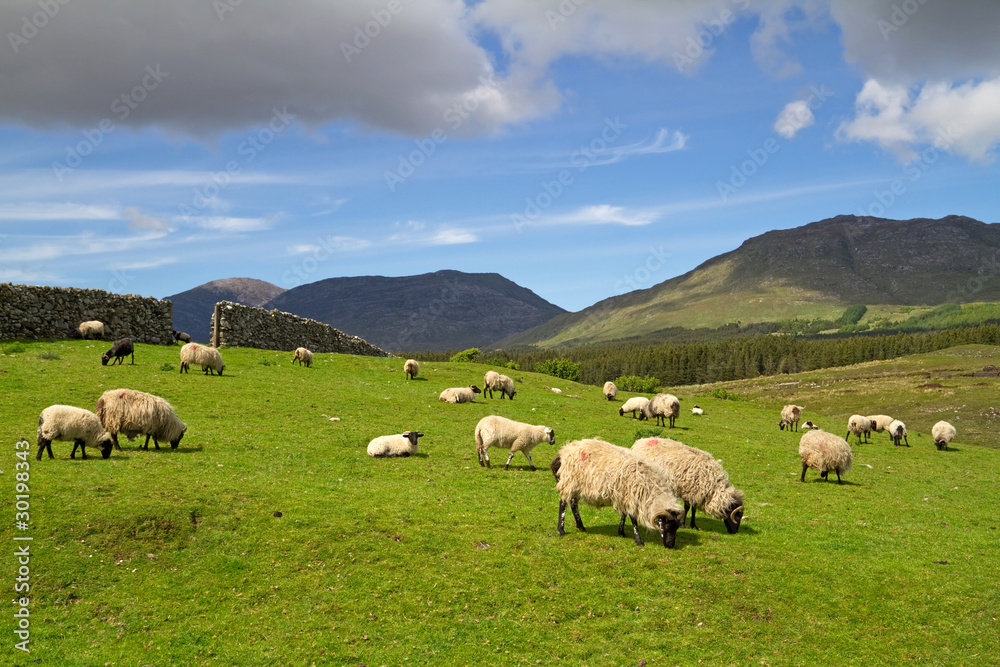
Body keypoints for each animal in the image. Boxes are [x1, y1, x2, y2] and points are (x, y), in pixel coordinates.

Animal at [548, 438, 688, 548]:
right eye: (668, 527)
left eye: (676, 528)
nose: (670, 545)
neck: (650, 488)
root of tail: (562, 453)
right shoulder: (631, 496)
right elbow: (633, 519)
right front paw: (639, 541)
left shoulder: (624, 496)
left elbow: (624, 514)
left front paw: (621, 532)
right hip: (568, 482)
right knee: (563, 504)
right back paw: (561, 530)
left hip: (576, 486)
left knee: (573, 504)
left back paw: (581, 526)